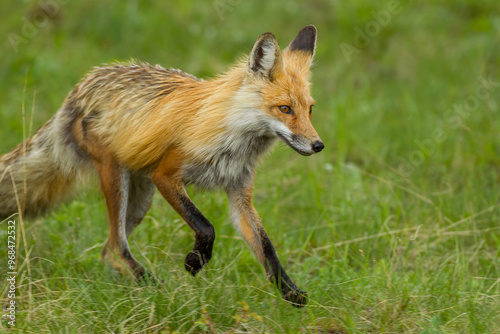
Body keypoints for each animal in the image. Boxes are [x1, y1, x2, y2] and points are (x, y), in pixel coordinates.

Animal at [0, 26, 322, 306]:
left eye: (309, 109)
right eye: (284, 108)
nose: (318, 145)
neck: (234, 138)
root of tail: (81, 88)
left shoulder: (239, 194)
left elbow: (267, 248)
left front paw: (290, 292)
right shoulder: (166, 175)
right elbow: (206, 226)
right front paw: (195, 261)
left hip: (141, 198)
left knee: (108, 249)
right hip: (120, 181)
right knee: (117, 246)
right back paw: (156, 290)